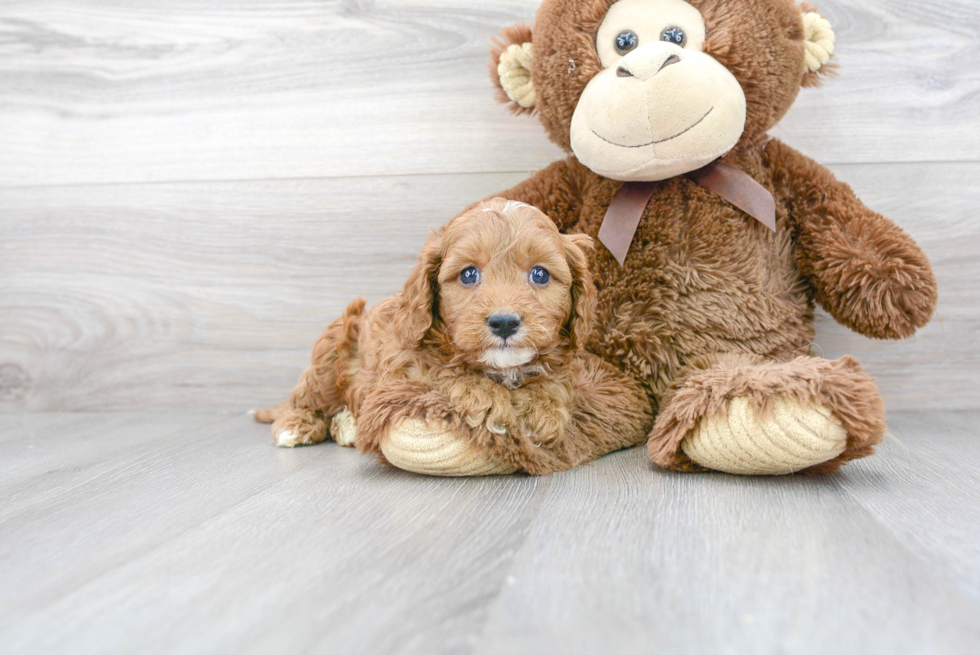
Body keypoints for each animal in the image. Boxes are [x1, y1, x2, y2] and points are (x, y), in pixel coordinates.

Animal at [256, 197, 652, 474]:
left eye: (540, 274)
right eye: (468, 275)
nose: (504, 323)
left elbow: (554, 380)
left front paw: (543, 408)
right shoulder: (402, 360)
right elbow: (442, 369)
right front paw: (487, 398)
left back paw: (347, 424)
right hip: (332, 350)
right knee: (304, 398)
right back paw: (298, 425)